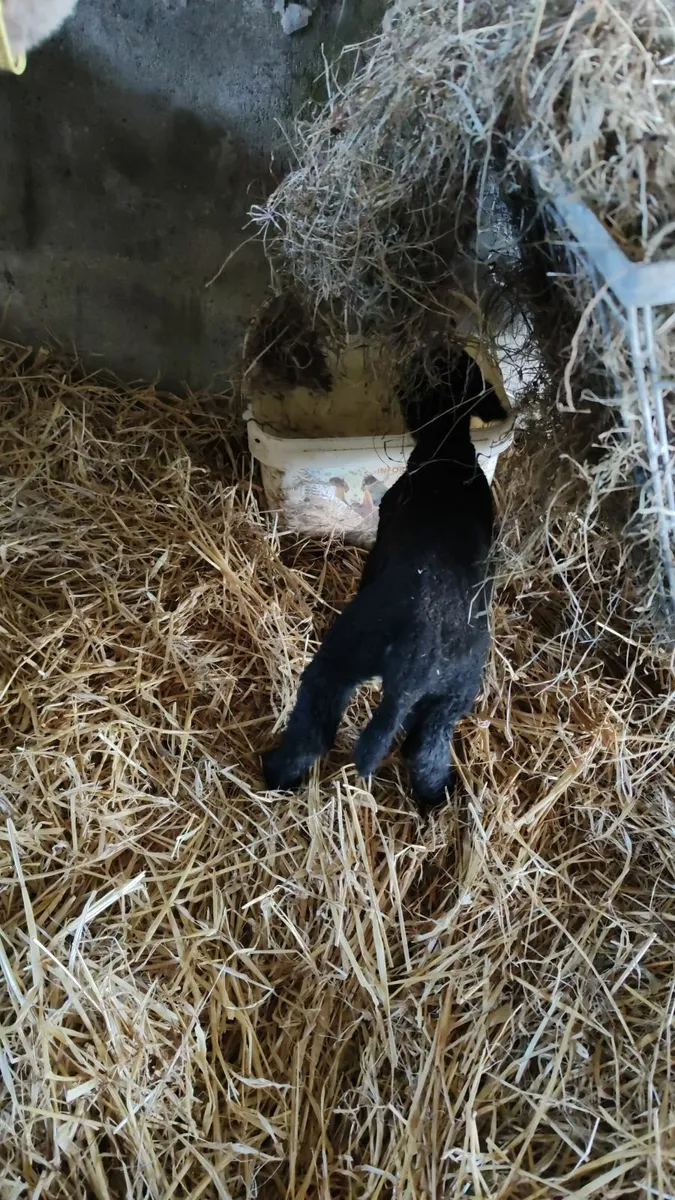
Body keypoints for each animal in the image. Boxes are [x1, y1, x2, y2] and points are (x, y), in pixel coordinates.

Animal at [262, 350, 507, 809]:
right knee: (425, 755)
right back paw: (435, 800)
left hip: (345, 655)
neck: (448, 445)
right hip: (446, 699)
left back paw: (275, 773)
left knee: (312, 726)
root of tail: (417, 660)